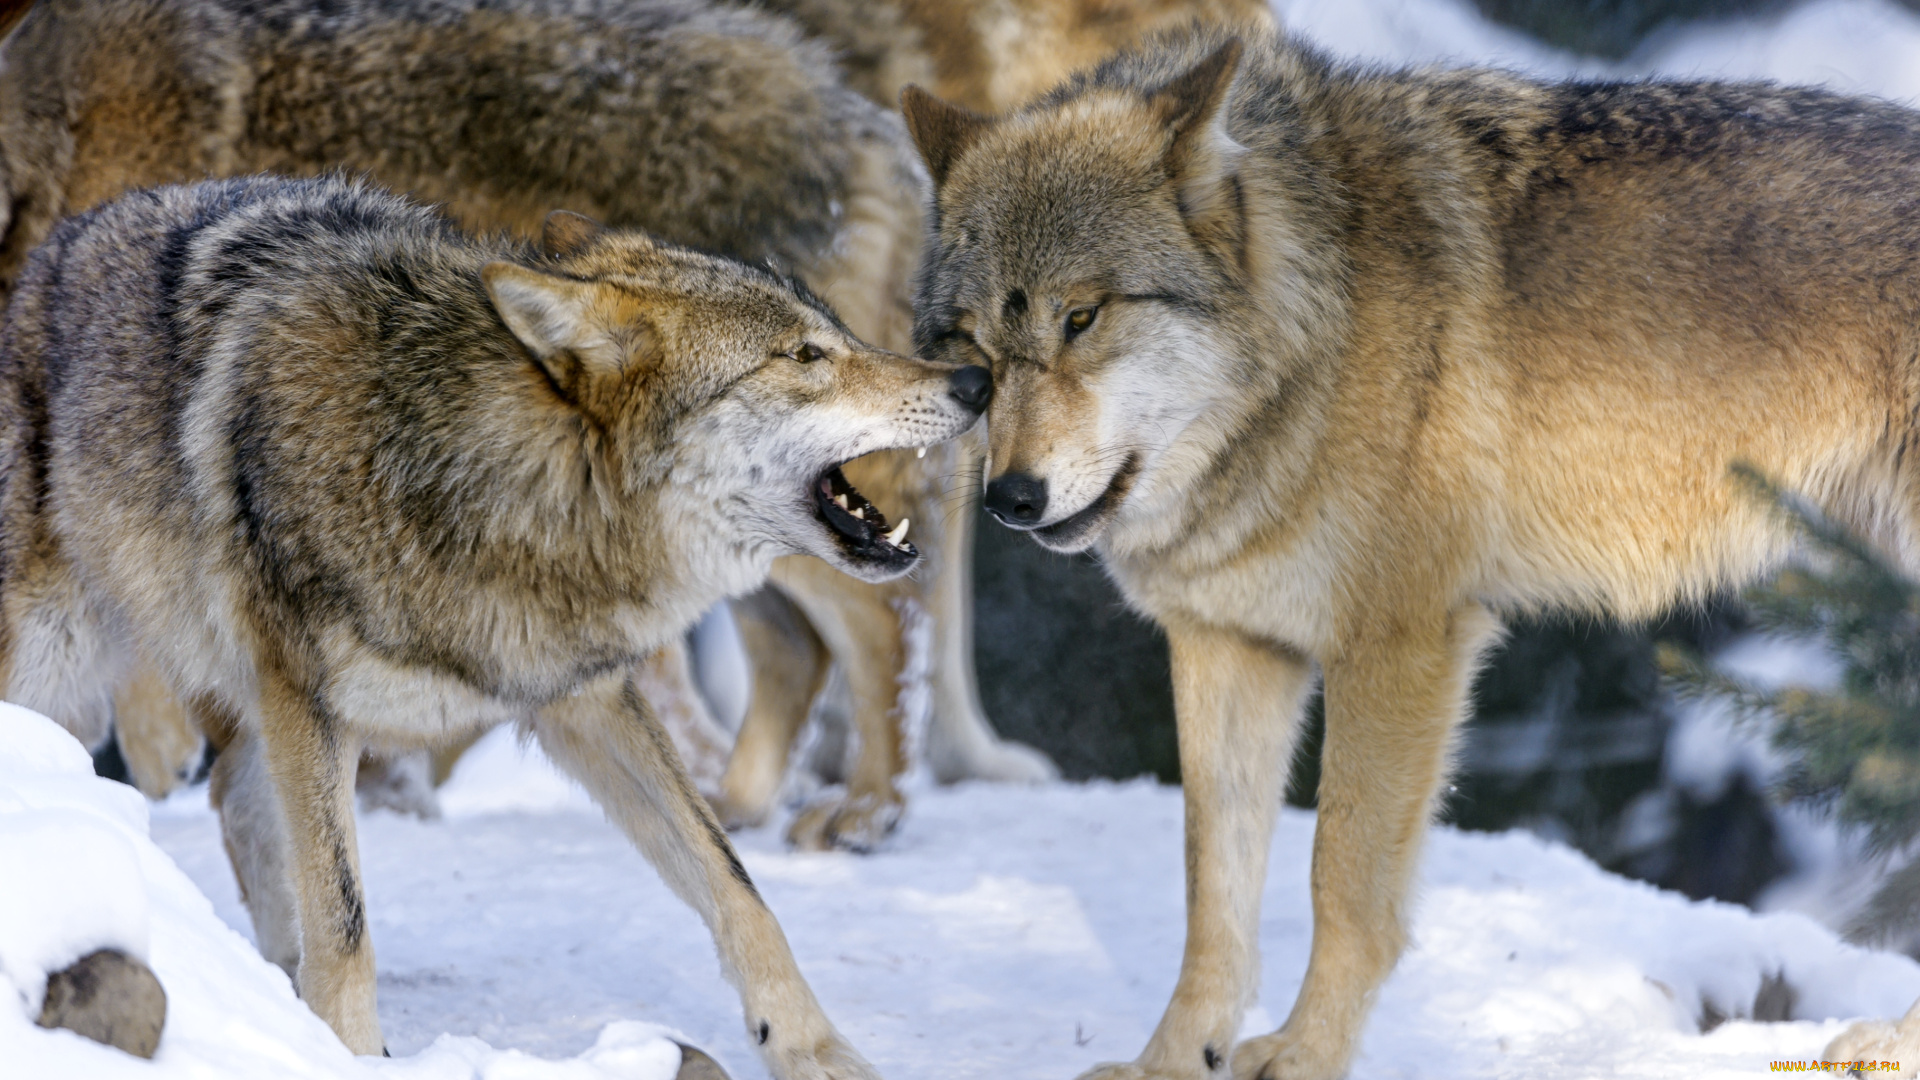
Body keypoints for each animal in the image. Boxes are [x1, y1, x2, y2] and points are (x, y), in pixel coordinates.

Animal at [0, 0, 1059, 845]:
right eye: (802, 353)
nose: (975, 383)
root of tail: (864, 117)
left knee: (889, 618)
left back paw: (866, 811)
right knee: (797, 652)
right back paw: (746, 805)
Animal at [0, 176, 990, 1068]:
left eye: (838, 332)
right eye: (803, 357)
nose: (978, 378)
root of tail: (48, 249)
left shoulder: (585, 700)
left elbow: (737, 885)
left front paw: (813, 1050)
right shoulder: (311, 710)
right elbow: (347, 925)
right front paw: (349, 1057)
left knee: (235, 811)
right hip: (58, 678)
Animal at [906, 21, 1920, 1076]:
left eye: (1082, 317)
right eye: (972, 350)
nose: (1010, 500)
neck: (1316, 339)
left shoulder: (1400, 647)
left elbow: (1342, 883)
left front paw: (1304, 1056)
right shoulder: (1227, 646)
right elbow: (1212, 899)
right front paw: (1172, 1062)